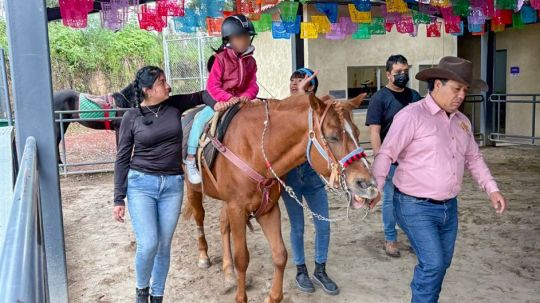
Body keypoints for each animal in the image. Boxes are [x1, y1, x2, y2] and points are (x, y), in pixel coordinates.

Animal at [181, 94, 376, 302]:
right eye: (332, 137)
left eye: (357, 133)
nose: (367, 184)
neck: (256, 150)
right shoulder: (237, 208)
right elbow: (242, 258)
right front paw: (241, 297)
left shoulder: (267, 209)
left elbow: (280, 254)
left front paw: (272, 297)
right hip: (194, 189)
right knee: (199, 217)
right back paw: (204, 257)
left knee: (223, 223)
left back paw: (228, 272)